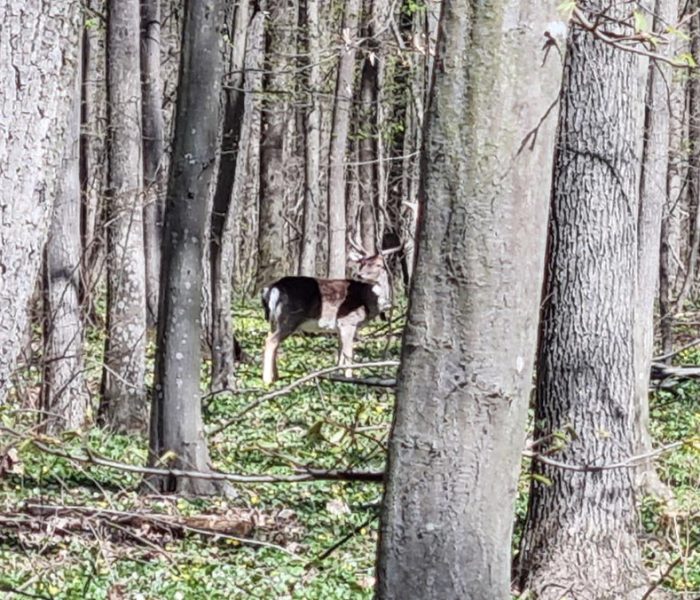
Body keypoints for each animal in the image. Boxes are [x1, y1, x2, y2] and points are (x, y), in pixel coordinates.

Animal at [262, 250, 396, 384]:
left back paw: (276, 377)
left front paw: (337, 376)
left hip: (275, 320)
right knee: (271, 341)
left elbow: (340, 354)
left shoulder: (339, 328)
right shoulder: (348, 322)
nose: (359, 275)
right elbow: (348, 355)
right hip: (290, 317)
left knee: (271, 338)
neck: (367, 302)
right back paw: (267, 380)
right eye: (362, 263)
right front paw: (350, 379)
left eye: (379, 265)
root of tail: (273, 288)